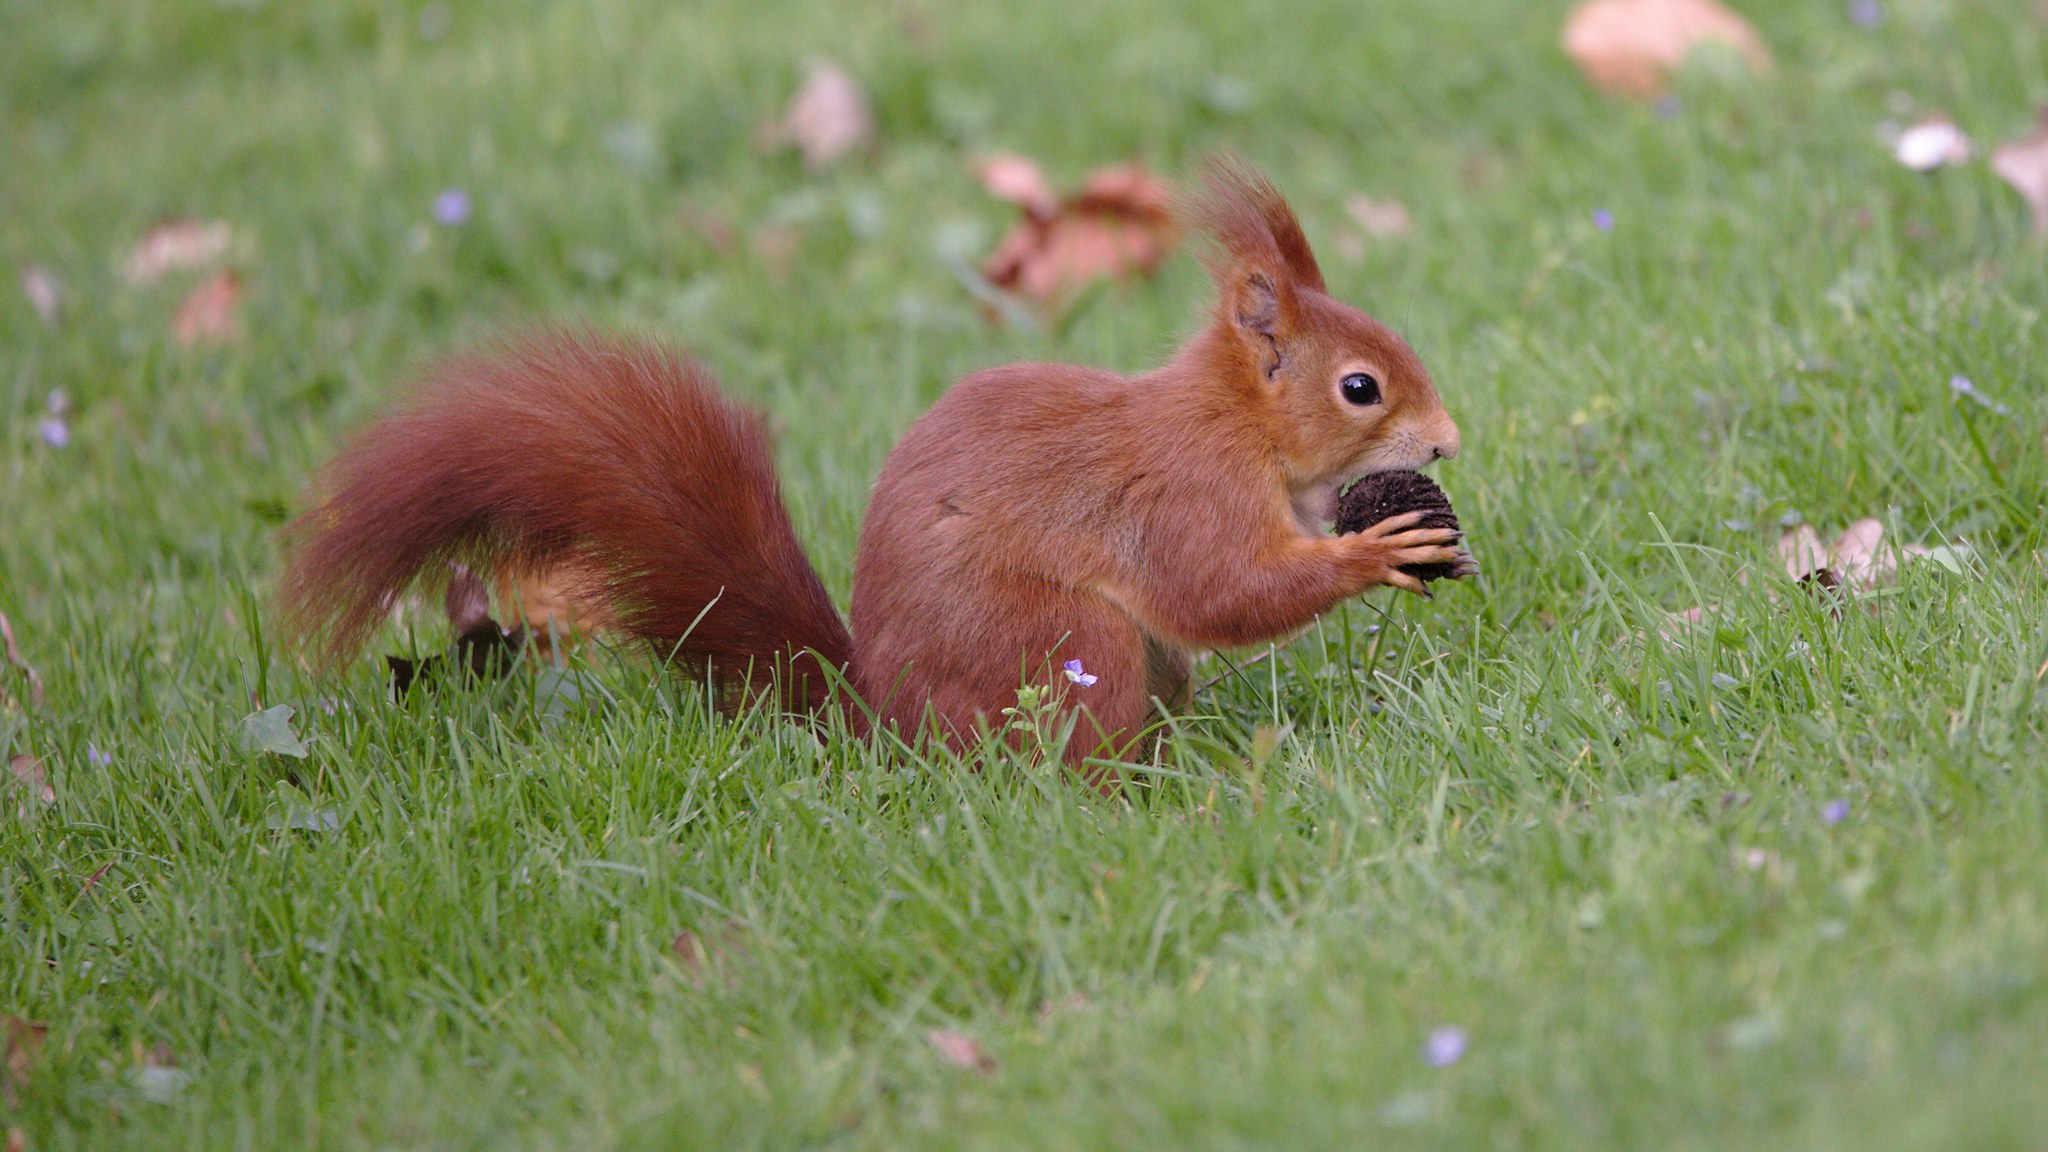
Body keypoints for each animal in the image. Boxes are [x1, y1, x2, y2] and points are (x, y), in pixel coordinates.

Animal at [278, 161, 1466, 785]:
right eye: (1360, 387)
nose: (1447, 442)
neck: (1245, 432)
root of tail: (881, 722)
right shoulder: (1188, 492)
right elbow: (1221, 589)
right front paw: (1378, 548)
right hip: (1057, 641)